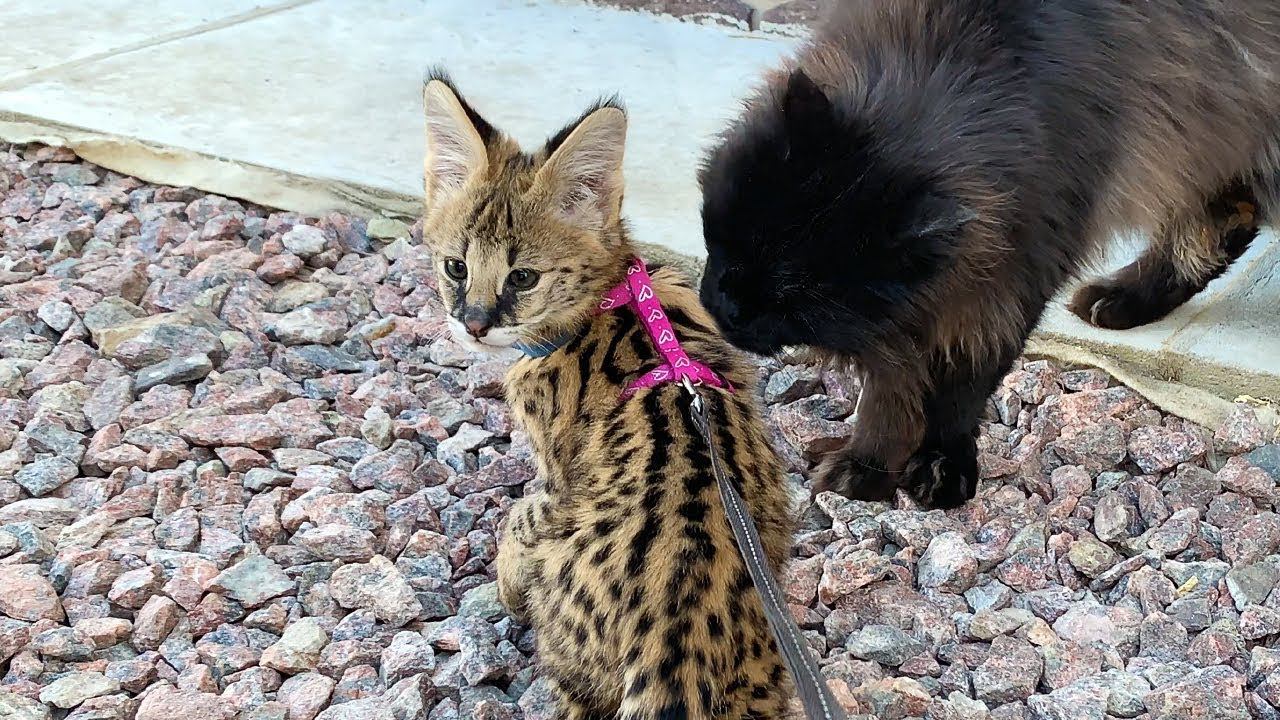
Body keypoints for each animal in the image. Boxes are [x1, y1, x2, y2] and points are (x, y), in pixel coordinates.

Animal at [422, 71, 796, 719]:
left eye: (523, 277)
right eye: (455, 267)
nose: (473, 324)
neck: (608, 295)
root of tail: (676, 646)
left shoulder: (558, 481)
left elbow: (521, 517)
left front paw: (506, 580)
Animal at [697, 0, 1277, 509]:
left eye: (795, 299)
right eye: (725, 246)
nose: (724, 310)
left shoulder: (1004, 281)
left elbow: (960, 389)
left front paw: (939, 465)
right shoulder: (923, 311)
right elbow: (891, 394)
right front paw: (869, 465)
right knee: (1221, 222)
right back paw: (1122, 300)